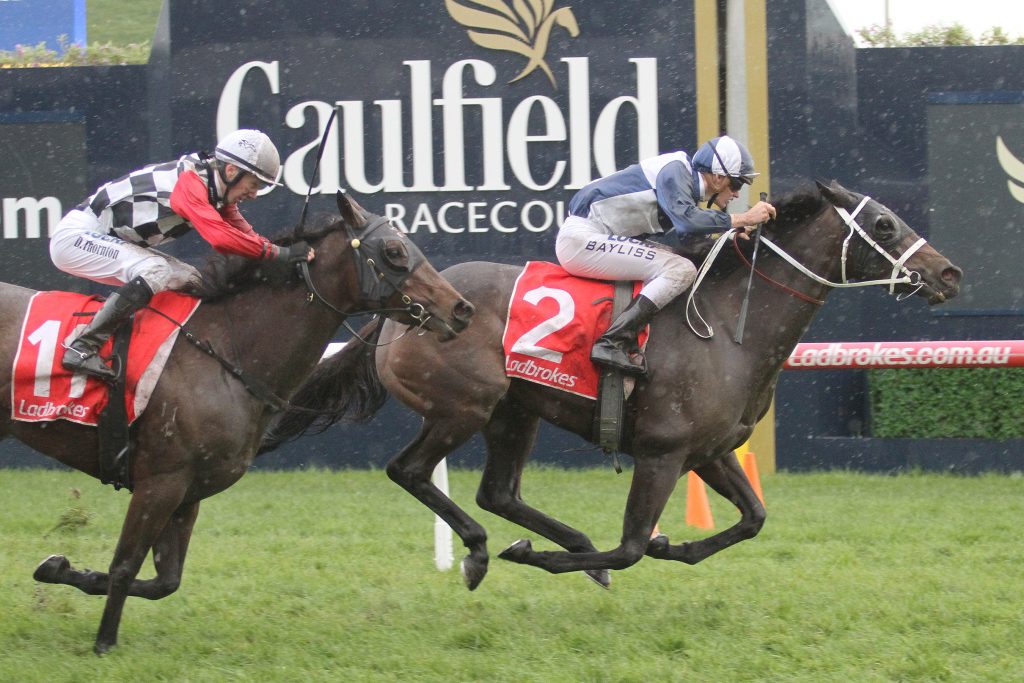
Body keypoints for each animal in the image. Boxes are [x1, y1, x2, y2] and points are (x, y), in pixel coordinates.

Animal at [0, 191, 474, 653]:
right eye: (394, 251)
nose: (461, 308)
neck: (225, 351)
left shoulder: (188, 491)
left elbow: (164, 581)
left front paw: (58, 568)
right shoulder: (160, 480)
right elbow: (124, 566)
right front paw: (103, 644)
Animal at [262, 180, 962, 590]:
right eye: (885, 224)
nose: (949, 273)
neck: (728, 330)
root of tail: (394, 314)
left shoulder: (707, 451)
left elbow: (753, 518)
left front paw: (674, 545)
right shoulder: (662, 452)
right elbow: (628, 548)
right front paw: (549, 559)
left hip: (514, 411)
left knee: (498, 492)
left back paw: (557, 538)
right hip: (465, 406)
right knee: (411, 472)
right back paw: (485, 551)